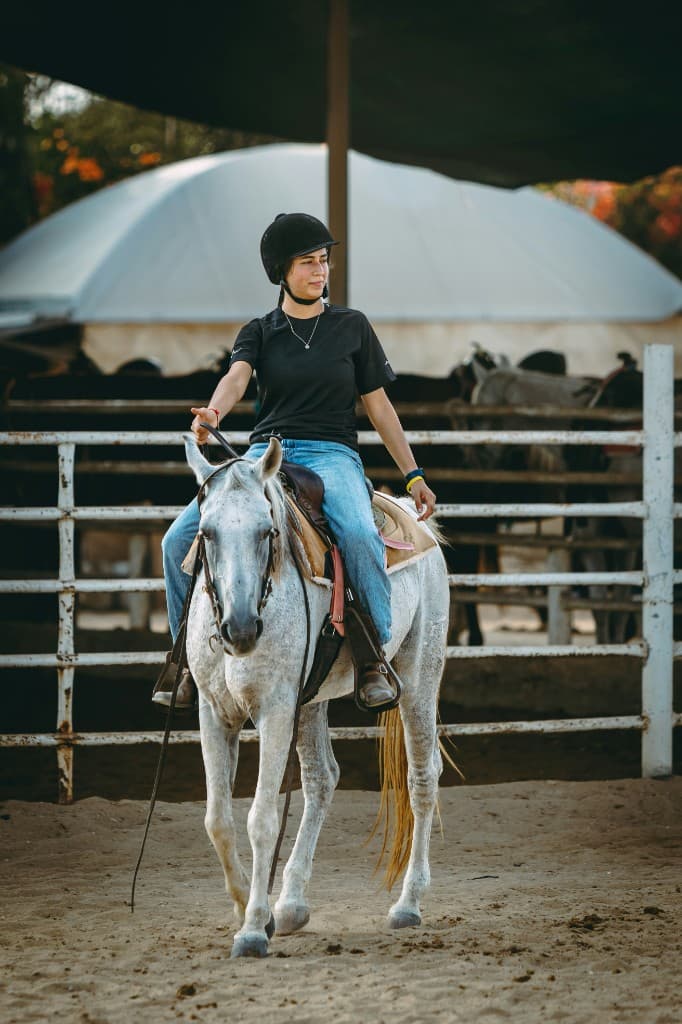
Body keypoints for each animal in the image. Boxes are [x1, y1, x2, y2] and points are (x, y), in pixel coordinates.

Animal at [183, 434, 451, 959]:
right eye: (206, 533)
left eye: (267, 531)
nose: (240, 629)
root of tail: (415, 516)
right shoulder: (214, 710)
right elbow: (217, 820)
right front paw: (252, 910)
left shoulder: (274, 709)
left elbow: (261, 818)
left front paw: (252, 930)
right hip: (312, 701)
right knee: (322, 778)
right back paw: (290, 905)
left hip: (420, 676)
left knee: (422, 778)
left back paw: (408, 904)